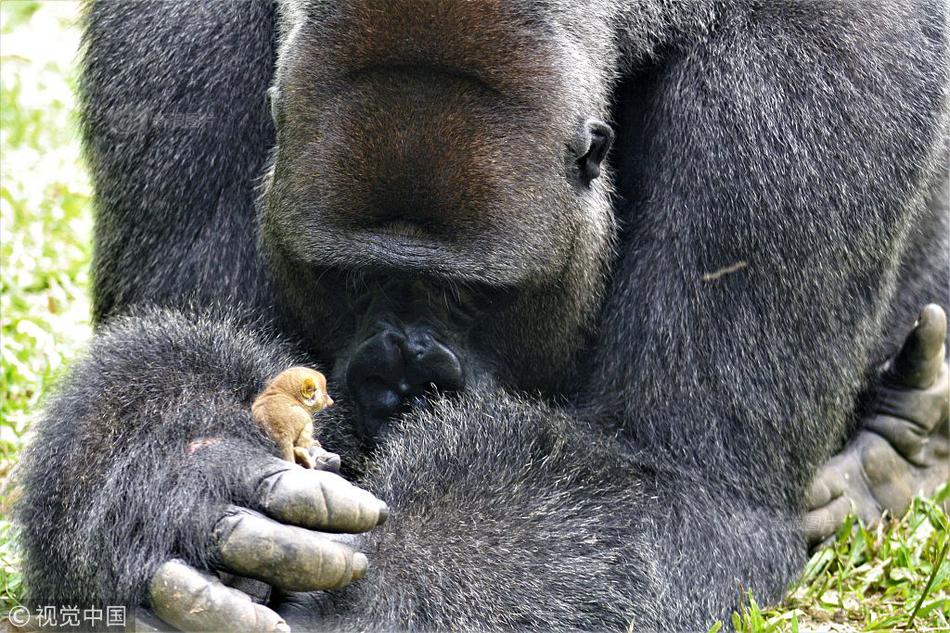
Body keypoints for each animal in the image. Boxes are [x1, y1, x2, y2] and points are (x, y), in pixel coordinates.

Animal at [14, 1, 950, 632]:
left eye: (472, 295)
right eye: (351, 279)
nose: (401, 380)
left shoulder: (819, 73)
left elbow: (681, 482)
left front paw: (375, 594)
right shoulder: (171, 32)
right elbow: (180, 340)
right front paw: (173, 469)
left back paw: (896, 449)